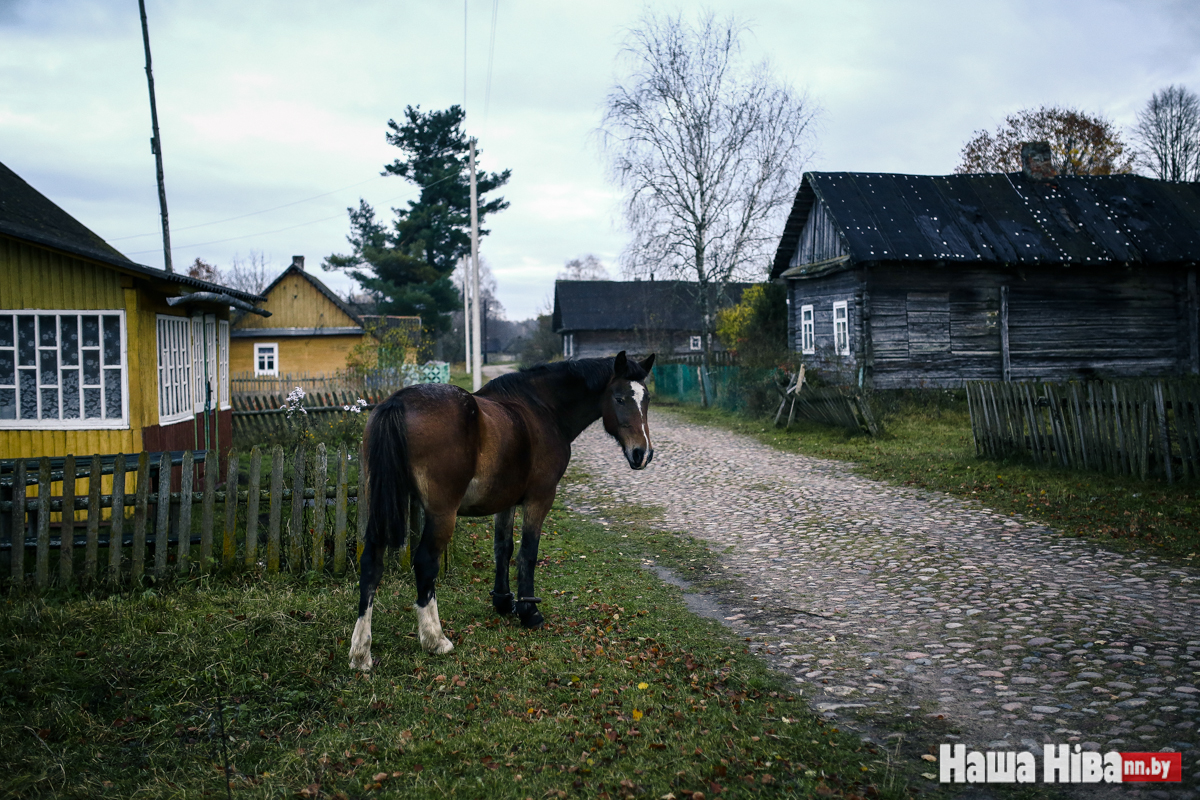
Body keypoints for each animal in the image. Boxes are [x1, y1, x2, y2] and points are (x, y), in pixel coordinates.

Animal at [348, 350, 657, 671]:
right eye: (619, 398)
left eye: (646, 399)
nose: (642, 454)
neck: (541, 408)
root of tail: (398, 401)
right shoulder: (539, 498)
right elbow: (528, 552)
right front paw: (529, 612)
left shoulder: (505, 501)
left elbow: (503, 548)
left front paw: (503, 601)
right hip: (441, 514)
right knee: (424, 563)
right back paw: (435, 639)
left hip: (381, 507)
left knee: (371, 563)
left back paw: (361, 652)